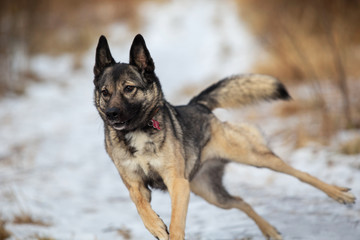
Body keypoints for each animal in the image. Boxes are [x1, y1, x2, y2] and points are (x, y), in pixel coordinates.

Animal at [92, 34, 354, 240]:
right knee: (241, 201)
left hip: (254, 158)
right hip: (211, 193)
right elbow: (141, 206)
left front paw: (166, 229)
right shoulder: (137, 186)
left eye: (129, 88)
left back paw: (339, 194)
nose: (111, 113)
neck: (138, 130)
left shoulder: (177, 185)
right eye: (105, 92)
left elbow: (176, 224)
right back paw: (269, 230)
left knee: (300, 174)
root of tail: (199, 105)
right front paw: (156, 226)